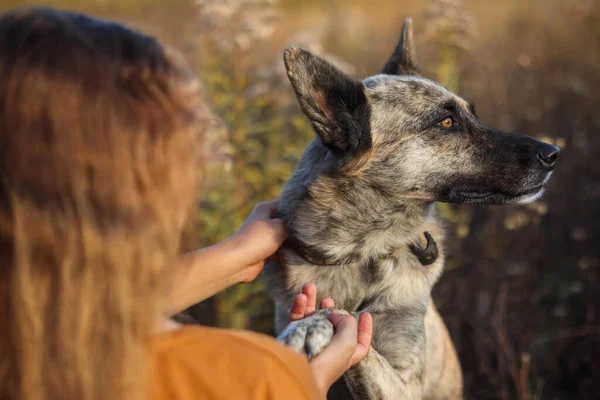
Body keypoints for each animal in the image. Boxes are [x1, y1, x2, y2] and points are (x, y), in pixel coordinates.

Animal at [264, 17, 560, 398]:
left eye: (472, 114)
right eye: (446, 123)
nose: (553, 154)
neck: (361, 253)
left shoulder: (404, 382)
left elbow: (349, 317)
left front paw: (310, 326)